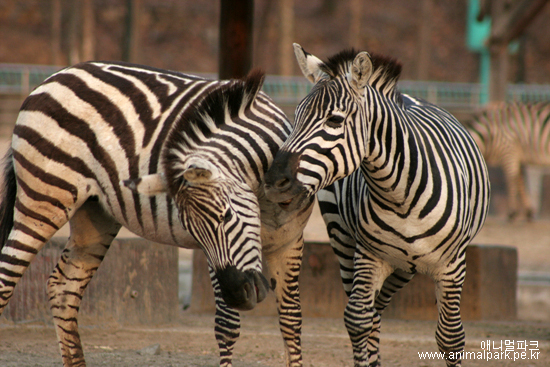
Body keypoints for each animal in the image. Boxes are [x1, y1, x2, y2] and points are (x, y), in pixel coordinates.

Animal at [0, 63, 314, 367]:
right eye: (196, 233)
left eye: (226, 216)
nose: (239, 295)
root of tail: (51, 80)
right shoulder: (213, 257)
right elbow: (227, 326)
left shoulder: (291, 243)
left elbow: (291, 321)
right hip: (45, 198)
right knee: (8, 277)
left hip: (94, 214)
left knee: (63, 287)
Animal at [264, 45, 492, 367]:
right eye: (295, 118)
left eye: (334, 121)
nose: (273, 181)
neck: (399, 194)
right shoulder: (369, 255)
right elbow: (358, 320)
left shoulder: (453, 265)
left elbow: (451, 337)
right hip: (346, 242)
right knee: (371, 313)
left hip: (405, 267)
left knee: (380, 309)